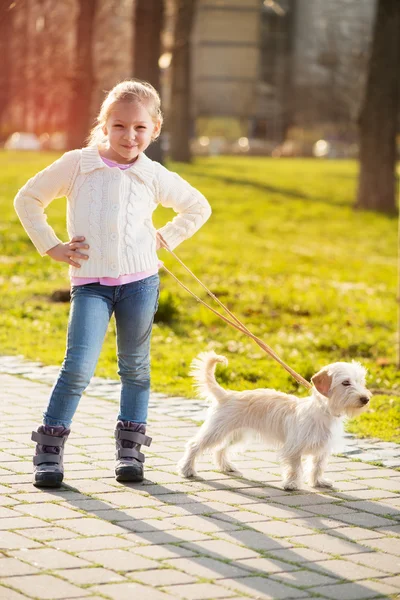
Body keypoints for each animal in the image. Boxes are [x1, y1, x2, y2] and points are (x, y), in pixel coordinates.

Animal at [179, 354, 372, 490]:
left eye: (360, 382)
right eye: (345, 383)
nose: (366, 399)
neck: (323, 412)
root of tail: (227, 395)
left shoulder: (322, 450)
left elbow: (317, 467)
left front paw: (318, 482)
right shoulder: (294, 448)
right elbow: (295, 467)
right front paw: (291, 484)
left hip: (236, 435)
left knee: (220, 449)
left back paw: (226, 467)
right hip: (216, 431)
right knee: (194, 445)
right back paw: (187, 470)